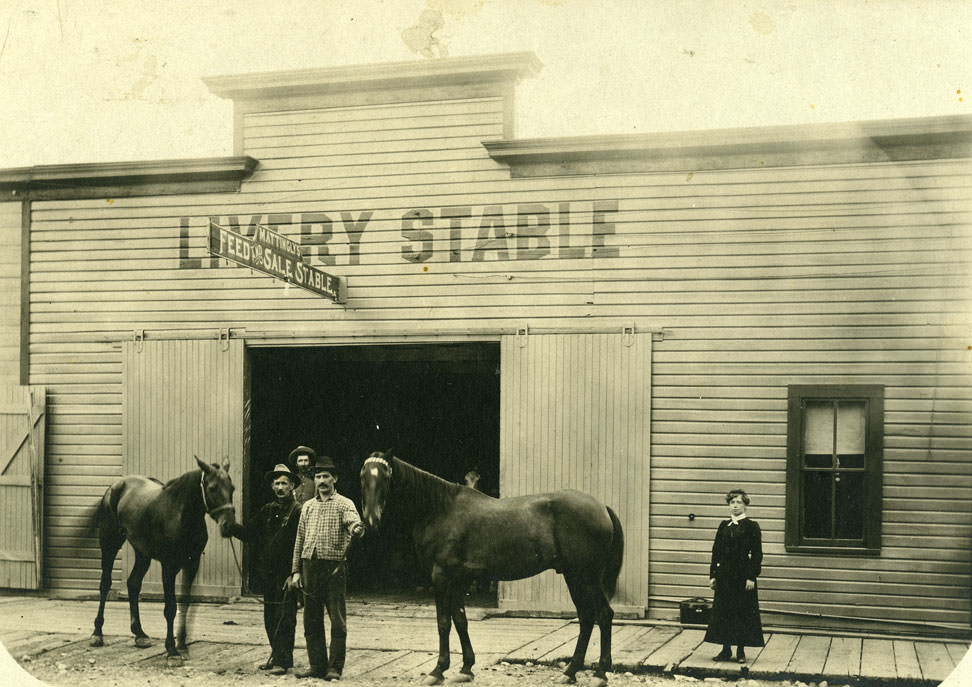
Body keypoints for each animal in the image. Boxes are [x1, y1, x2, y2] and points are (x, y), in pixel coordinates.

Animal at [360, 452, 628, 687]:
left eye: (386, 475)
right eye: (363, 476)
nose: (371, 518)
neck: (440, 510)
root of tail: (602, 507)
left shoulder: (442, 577)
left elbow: (443, 622)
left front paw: (438, 671)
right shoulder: (458, 580)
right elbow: (460, 620)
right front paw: (466, 669)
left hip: (586, 577)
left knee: (603, 615)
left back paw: (599, 674)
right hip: (574, 577)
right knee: (586, 617)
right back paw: (571, 671)